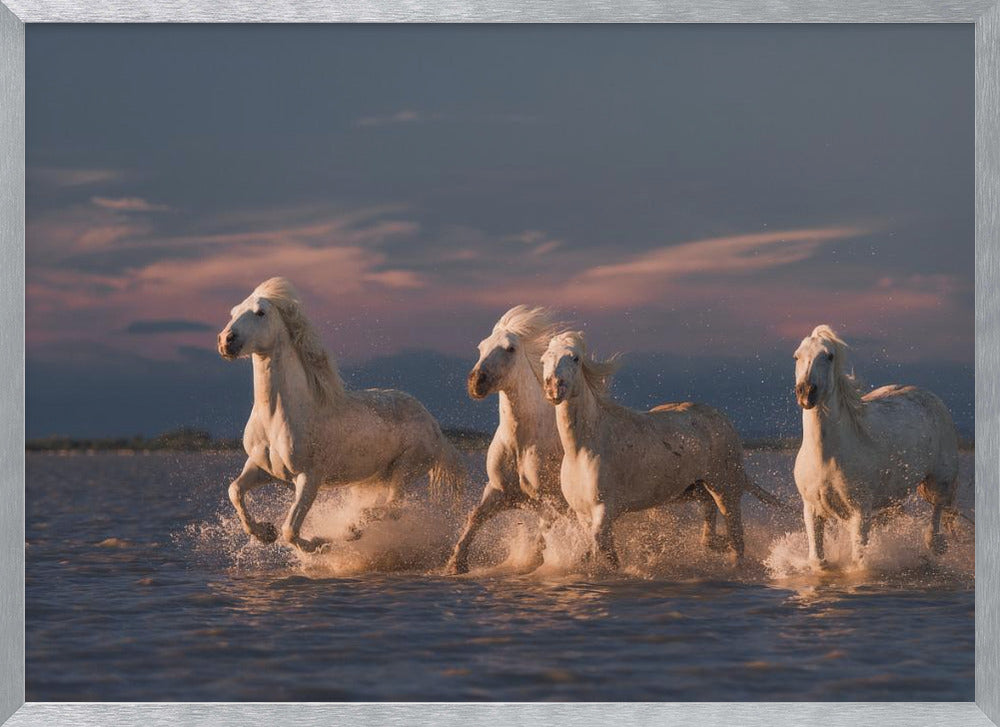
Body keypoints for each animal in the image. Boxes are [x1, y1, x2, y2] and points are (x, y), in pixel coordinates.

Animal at [217, 278, 466, 552]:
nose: (226, 341)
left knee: (395, 507)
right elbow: (234, 490)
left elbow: (291, 530)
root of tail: (434, 425)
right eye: (233, 312)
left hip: (406, 468)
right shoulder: (262, 468)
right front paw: (264, 532)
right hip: (377, 477)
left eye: (260, 312)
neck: (277, 418)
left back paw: (353, 528)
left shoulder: (309, 477)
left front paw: (318, 543)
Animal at [448, 306, 572, 576]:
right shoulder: (500, 491)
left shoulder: (554, 499)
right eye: (481, 346)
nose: (476, 381)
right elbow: (475, 517)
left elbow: (547, 528)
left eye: (510, 348)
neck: (522, 443)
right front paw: (455, 564)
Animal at [540, 332, 780, 568]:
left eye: (575, 358)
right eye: (544, 360)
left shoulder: (605, 509)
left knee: (737, 539)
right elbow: (599, 550)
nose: (553, 387)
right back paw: (717, 544)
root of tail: (723, 420)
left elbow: (600, 547)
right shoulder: (583, 514)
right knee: (711, 521)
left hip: (725, 489)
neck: (582, 449)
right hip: (695, 490)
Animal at [788, 324, 960, 568]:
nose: (806, 393)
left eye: (829, 356)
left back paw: (935, 545)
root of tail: (931, 397)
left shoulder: (860, 511)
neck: (826, 456)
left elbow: (858, 561)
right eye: (797, 356)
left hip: (940, 480)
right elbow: (817, 561)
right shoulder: (812, 510)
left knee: (937, 509)